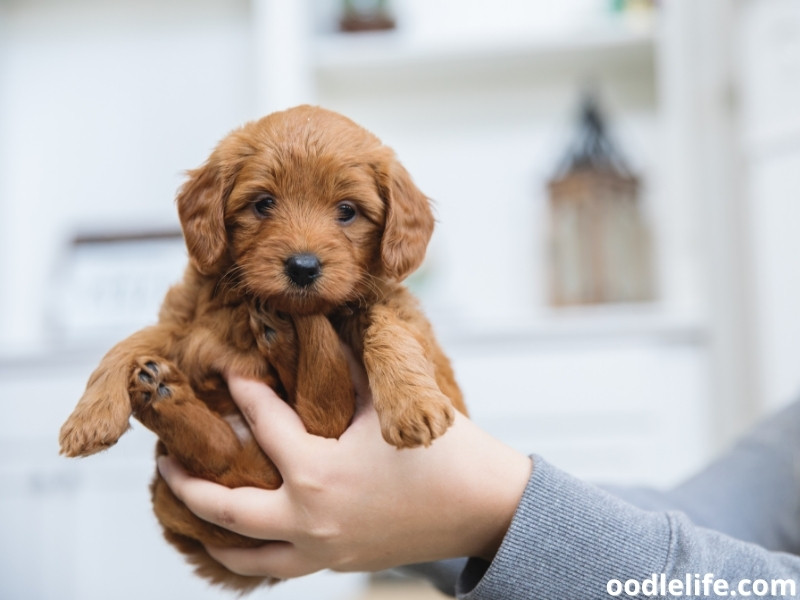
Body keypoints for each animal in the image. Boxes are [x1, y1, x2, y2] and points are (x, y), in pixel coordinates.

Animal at [57, 105, 462, 592]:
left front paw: (411, 404)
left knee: (311, 411)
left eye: (347, 211)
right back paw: (164, 393)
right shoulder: (182, 324)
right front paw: (89, 419)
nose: (303, 268)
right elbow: (123, 346)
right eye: (263, 203)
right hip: (181, 490)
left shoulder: (395, 306)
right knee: (220, 452)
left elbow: (388, 327)